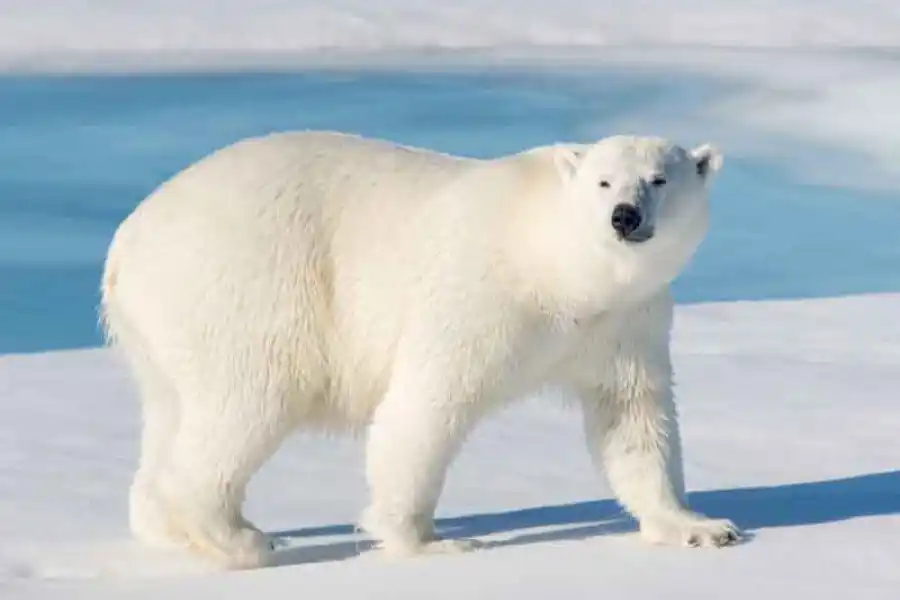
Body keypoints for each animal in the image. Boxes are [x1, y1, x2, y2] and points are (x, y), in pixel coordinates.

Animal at [99, 130, 741, 570]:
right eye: (603, 181)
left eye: (660, 179)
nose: (624, 216)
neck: (556, 266)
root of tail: (126, 239)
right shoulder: (479, 295)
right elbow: (426, 405)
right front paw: (430, 542)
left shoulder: (624, 322)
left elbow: (633, 418)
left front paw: (700, 526)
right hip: (246, 283)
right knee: (248, 401)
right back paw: (239, 537)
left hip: (160, 328)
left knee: (172, 412)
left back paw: (168, 526)